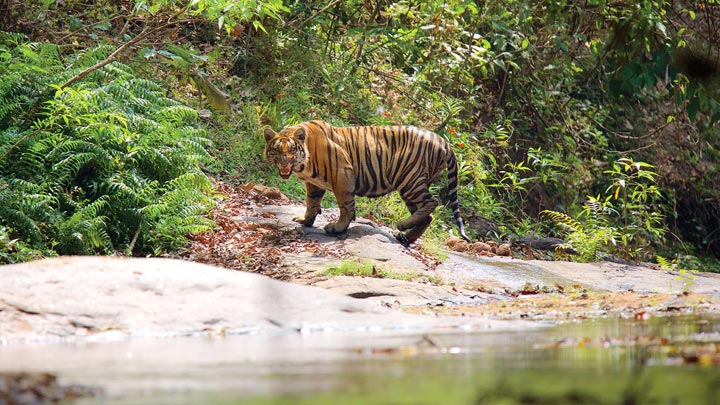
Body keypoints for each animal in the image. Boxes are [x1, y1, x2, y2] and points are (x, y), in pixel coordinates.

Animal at [264, 120, 472, 245]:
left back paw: (402, 226)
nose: (285, 163)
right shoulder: (314, 184)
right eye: (277, 150)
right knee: (427, 216)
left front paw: (338, 228)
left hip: (408, 179)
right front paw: (305, 220)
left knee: (431, 202)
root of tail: (444, 141)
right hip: (412, 185)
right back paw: (405, 236)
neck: (303, 165)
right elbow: (312, 202)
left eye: (292, 150)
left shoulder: (342, 173)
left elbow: (345, 206)